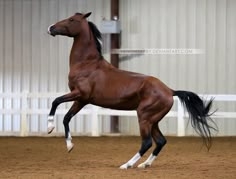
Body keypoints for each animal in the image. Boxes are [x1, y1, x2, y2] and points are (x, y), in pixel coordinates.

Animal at [47, 12, 217, 169]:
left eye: (71, 20)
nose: (51, 28)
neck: (87, 64)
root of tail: (170, 90)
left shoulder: (79, 94)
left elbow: (55, 101)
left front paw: (49, 127)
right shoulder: (82, 100)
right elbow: (66, 118)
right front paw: (69, 145)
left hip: (144, 117)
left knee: (147, 142)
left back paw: (127, 165)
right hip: (153, 121)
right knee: (161, 141)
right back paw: (144, 164)